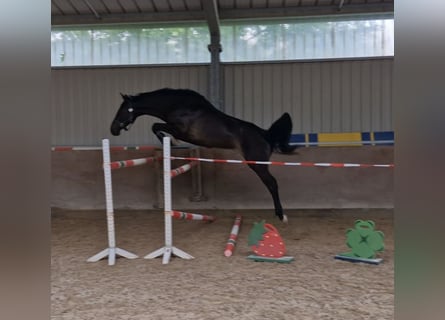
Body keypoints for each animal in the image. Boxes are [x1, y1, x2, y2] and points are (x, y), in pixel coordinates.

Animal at [110, 87, 296, 222]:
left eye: (122, 110)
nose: (113, 130)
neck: (180, 107)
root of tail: (265, 135)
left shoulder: (180, 130)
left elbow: (156, 126)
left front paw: (170, 142)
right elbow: (156, 126)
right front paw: (169, 142)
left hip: (257, 164)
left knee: (272, 184)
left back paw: (281, 215)